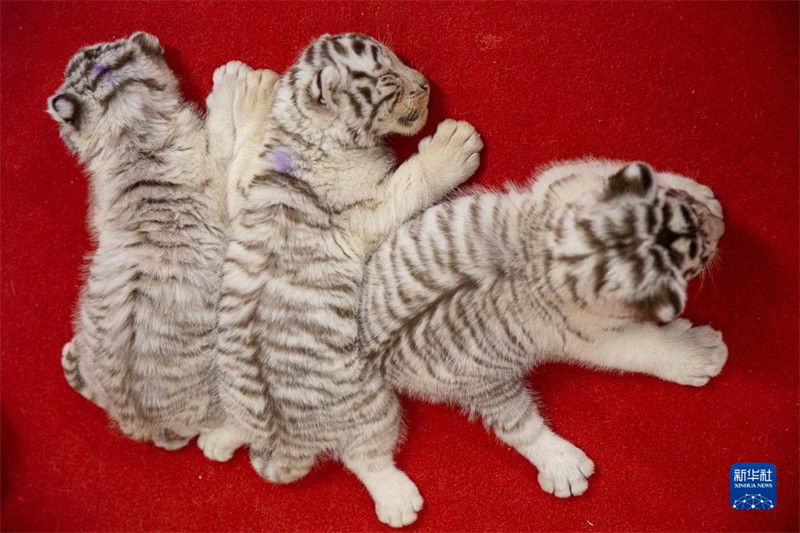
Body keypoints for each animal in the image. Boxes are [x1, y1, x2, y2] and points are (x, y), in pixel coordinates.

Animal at [200, 33, 483, 527]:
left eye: (399, 61)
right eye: (389, 79)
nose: (426, 84)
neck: (302, 135)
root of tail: (286, 441)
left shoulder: (243, 194)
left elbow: (243, 151)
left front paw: (252, 91)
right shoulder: (360, 216)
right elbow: (410, 182)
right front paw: (451, 148)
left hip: (237, 398)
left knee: (242, 425)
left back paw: (216, 440)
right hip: (373, 409)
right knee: (364, 458)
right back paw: (398, 501)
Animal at [359, 159, 727, 498]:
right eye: (695, 259)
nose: (721, 226)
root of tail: (371, 349)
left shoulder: (561, 183)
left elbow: (602, 168)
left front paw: (696, 190)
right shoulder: (587, 334)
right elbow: (642, 347)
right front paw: (697, 354)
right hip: (479, 381)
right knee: (516, 424)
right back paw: (563, 465)